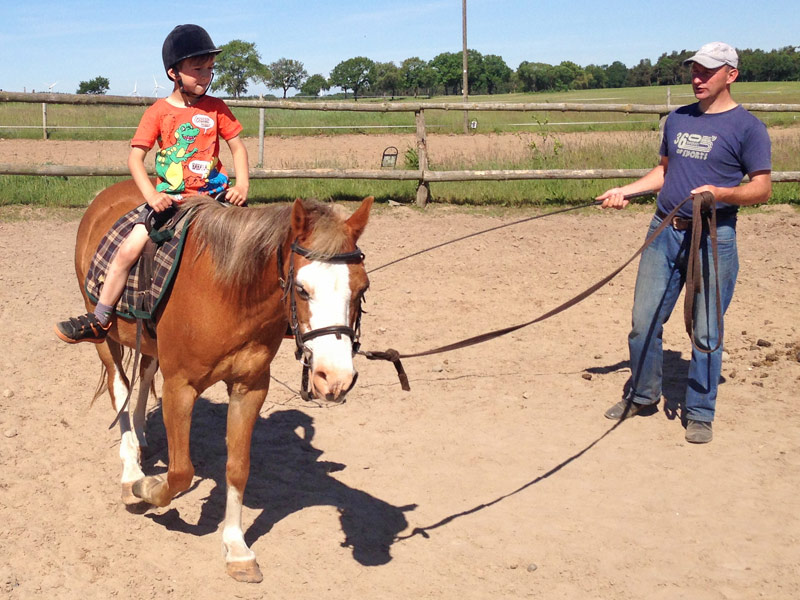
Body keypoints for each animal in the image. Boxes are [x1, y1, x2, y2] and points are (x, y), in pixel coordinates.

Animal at [71, 179, 373, 582]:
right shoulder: (180, 387)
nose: (335, 378)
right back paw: (130, 469)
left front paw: (236, 549)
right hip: (104, 336)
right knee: (119, 388)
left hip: (149, 343)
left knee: (144, 374)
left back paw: (142, 438)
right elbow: (180, 472)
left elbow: (238, 468)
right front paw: (145, 487)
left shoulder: (250, 388)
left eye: (362, 288)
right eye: (302, 289)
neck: (229, 294)